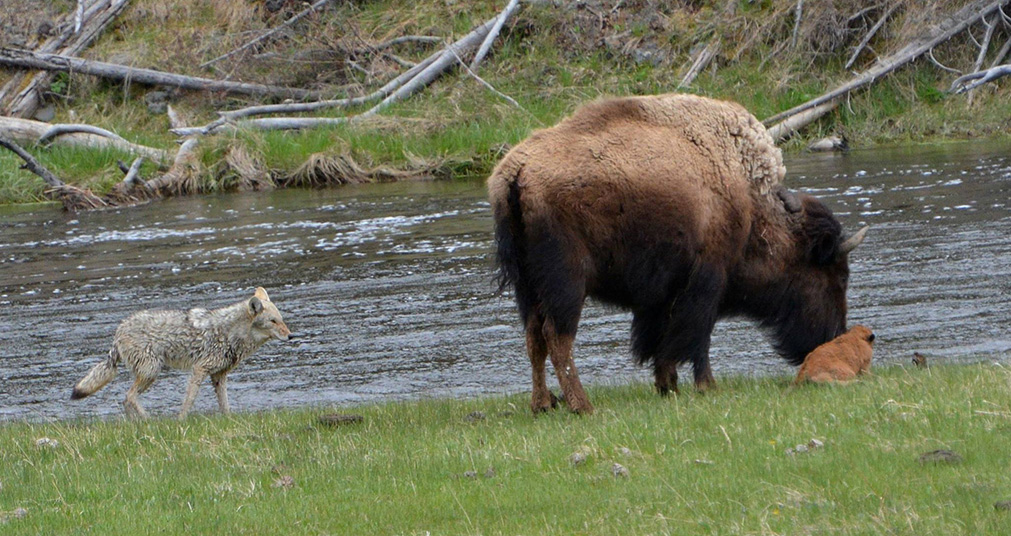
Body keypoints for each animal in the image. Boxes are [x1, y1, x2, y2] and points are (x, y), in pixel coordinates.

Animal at [489, 94, 869, 412]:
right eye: (836, 276)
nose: (831, 338)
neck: (749, 201)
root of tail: (517, 172)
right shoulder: (706, 280)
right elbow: (696, 337)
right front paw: (706, 386)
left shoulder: (660, 294)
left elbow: (660, 340)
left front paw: (667, 385)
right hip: (567, 282)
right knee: (558, 337)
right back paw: (582, 406)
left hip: (527, 286)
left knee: (534, 337)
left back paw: (543, 404)